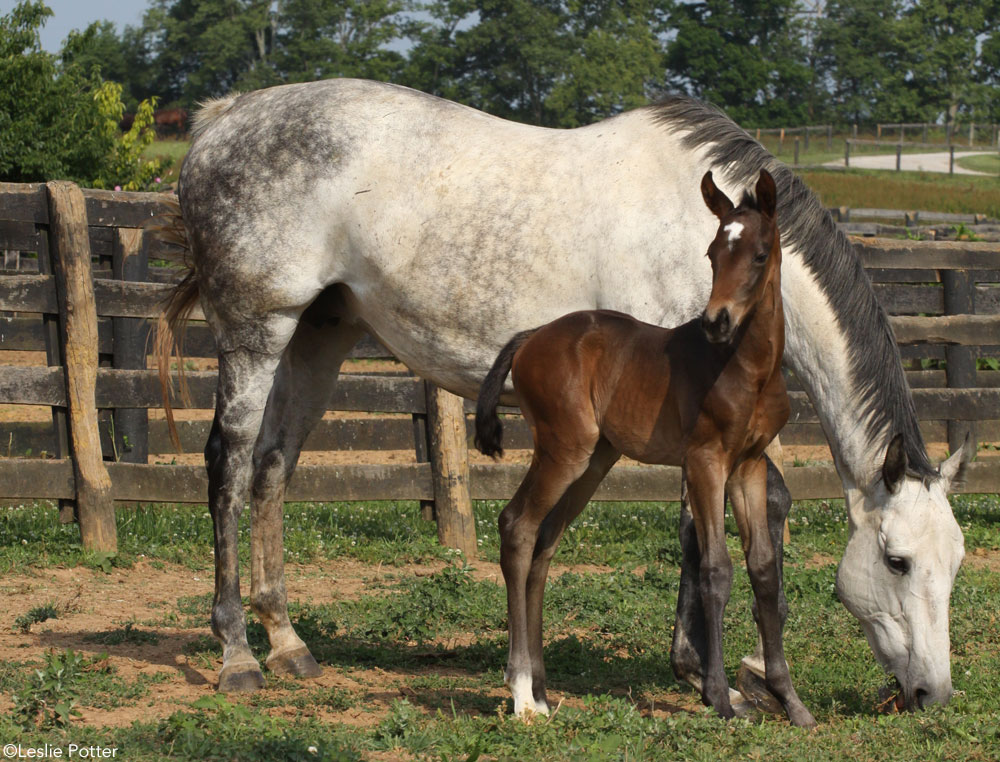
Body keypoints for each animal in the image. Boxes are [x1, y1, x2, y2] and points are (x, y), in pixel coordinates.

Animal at [472, 169, 816, 728]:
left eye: (760, 254)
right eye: (711, 254)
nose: (716, 321)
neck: (749, 369)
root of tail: (530, 337)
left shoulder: (748, 465)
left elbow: (763, 571)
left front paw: (790, 701)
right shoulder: (705, 461)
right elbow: (715, 569)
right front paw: (720, 697)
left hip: (595, 461)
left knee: (545, 542)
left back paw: (542, 692)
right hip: (564, 450)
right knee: (517, 526)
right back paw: (521, 692)